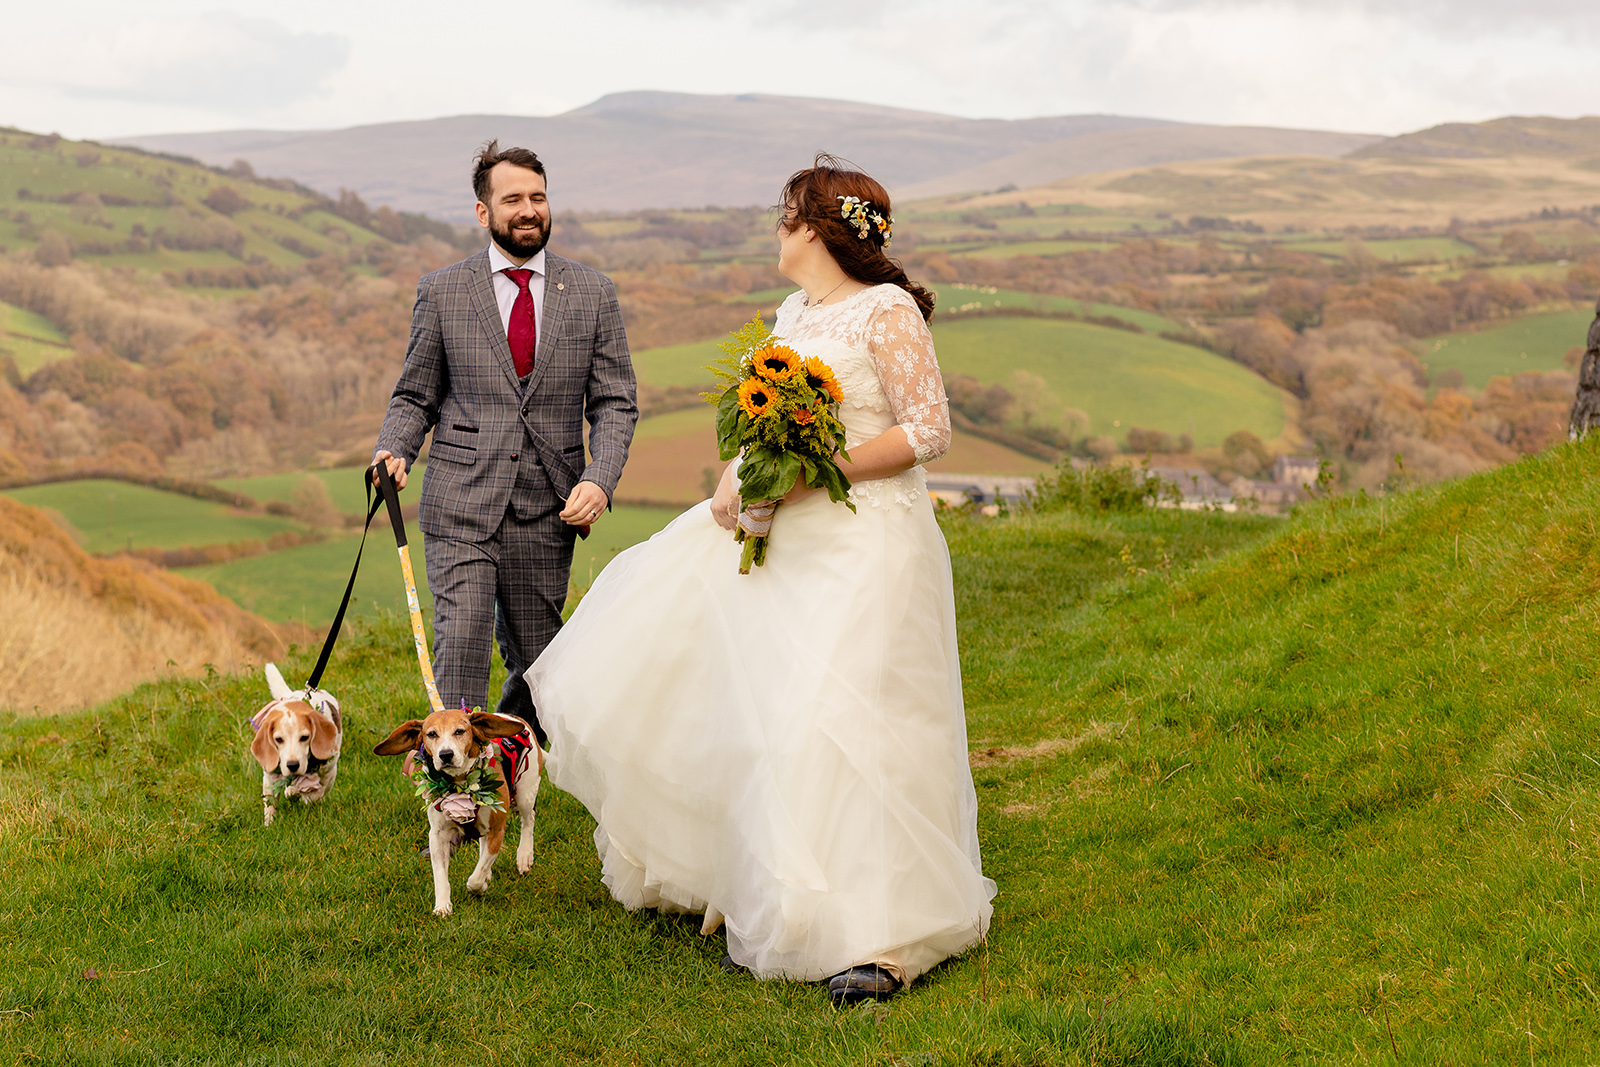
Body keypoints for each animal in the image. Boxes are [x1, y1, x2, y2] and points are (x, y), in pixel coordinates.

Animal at [249, 662, 340, 831]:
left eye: (304, 738)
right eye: (278, 740)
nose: (292, 765)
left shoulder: (328, 771)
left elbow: (315, 793)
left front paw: (299, 794)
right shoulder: (269, 777)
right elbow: (270, 805)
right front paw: (269, 826)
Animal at [374, 703, 544, 915]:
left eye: (460, 731)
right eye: (431, 734)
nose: (445, 754)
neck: (459, 783)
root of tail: (511, 717)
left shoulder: (497, 830)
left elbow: (475, 879)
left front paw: (480, 886)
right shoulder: (437, 836)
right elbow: (441, 876)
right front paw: (442, 906)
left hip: (525, 793)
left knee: (528, 820)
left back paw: (524, 856)